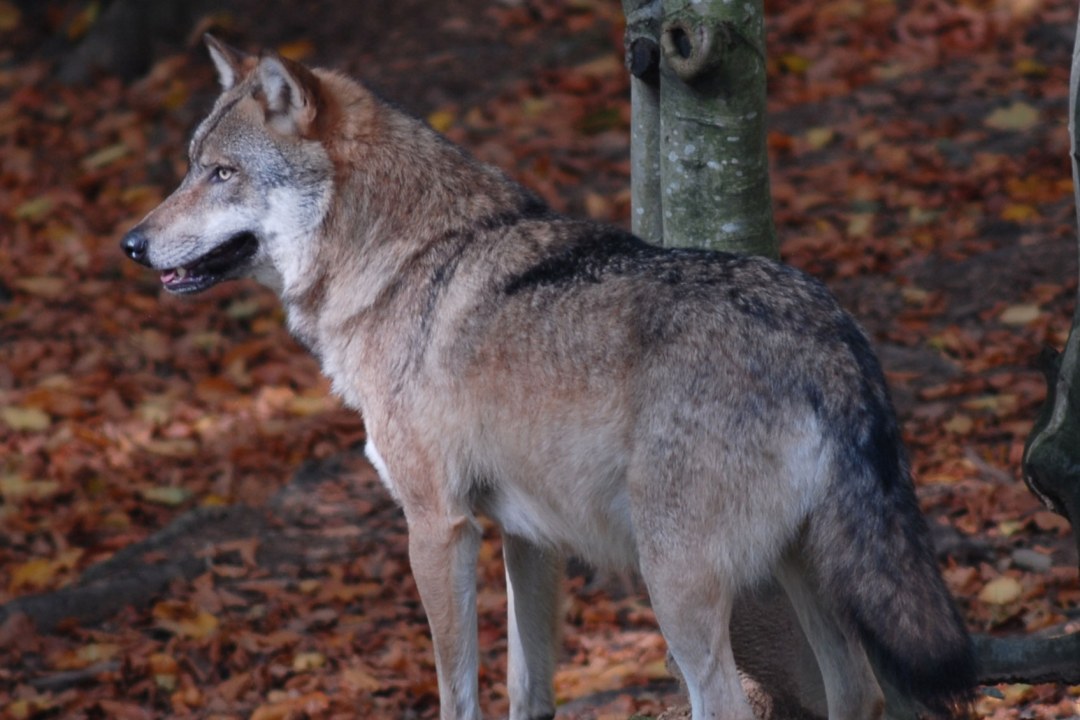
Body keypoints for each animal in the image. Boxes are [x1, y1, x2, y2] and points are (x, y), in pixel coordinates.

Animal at [122, 36, 975, 720]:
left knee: (731, 702)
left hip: (678, 587)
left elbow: (456, 691)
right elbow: (527, 688)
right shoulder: (528, 535)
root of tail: (829, 336)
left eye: (222, 173)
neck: (400, 260)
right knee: (857, 693)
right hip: (803, 571)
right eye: (190, 167)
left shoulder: (438, 526)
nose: (130, 243)